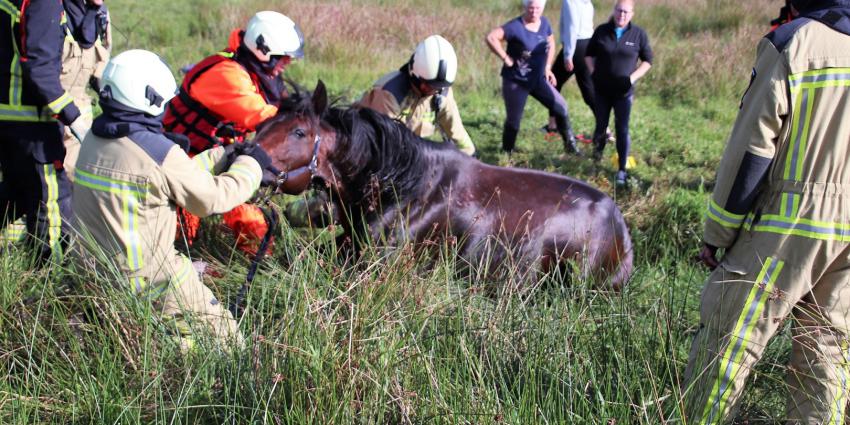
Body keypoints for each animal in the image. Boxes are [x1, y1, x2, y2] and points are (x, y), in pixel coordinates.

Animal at [255, 81, 632, 290]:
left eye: (299, 132)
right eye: (265, 122)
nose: (247, 155)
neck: (403, 187)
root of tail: (620, 226)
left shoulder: (373, 264)